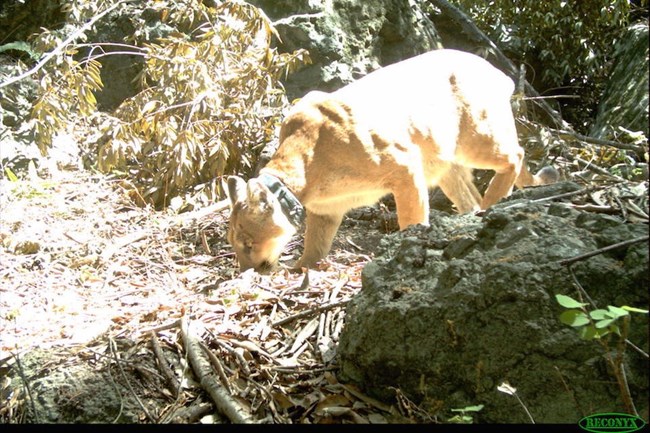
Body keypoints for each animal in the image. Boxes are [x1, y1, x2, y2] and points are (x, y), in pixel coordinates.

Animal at [225, 49, 556, 272]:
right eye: (234, 244)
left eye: (248, 243)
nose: (247, 271)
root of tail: (494, 69)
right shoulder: (326, 210)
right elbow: (315, 246)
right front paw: (301, 269)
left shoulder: (405, 166)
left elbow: (411, 217)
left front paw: (409, 246)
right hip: (443, 163)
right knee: (469, 195)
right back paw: (474, 215)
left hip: (475, 136)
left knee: (514, 155)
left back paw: (493, 202)